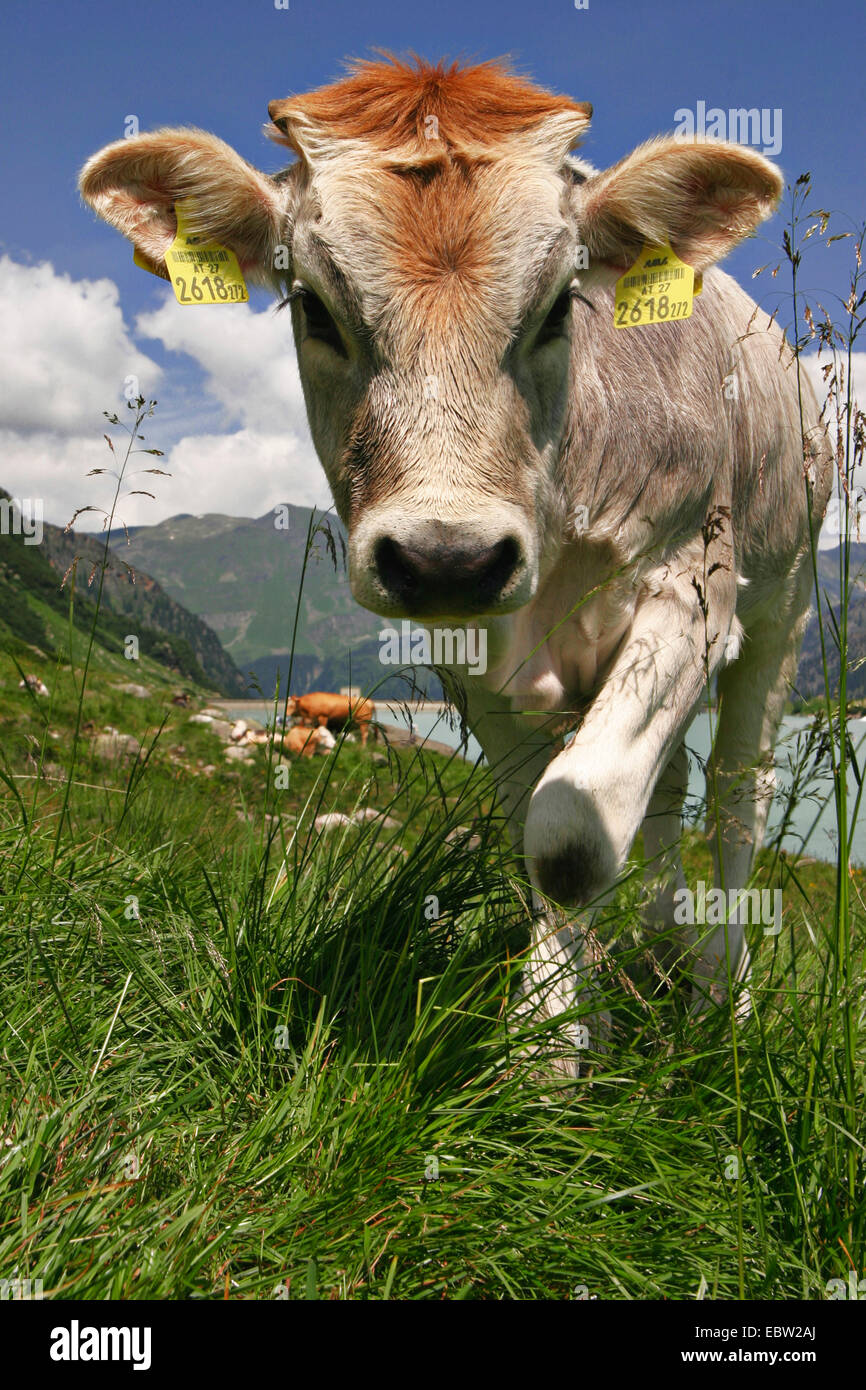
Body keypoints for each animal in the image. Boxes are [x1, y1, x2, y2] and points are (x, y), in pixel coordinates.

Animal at [81, 54, 834, 1067]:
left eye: (560, 305)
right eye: (313, 306)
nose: (448, 557)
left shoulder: (692, 591)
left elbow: (572, 834)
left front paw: (543, 1054)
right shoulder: (470, 656)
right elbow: (540, 828)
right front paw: (565, 1033)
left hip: (781, 605)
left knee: (737, 794)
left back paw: (723, 995)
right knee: (670, 791)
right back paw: (659, 950)